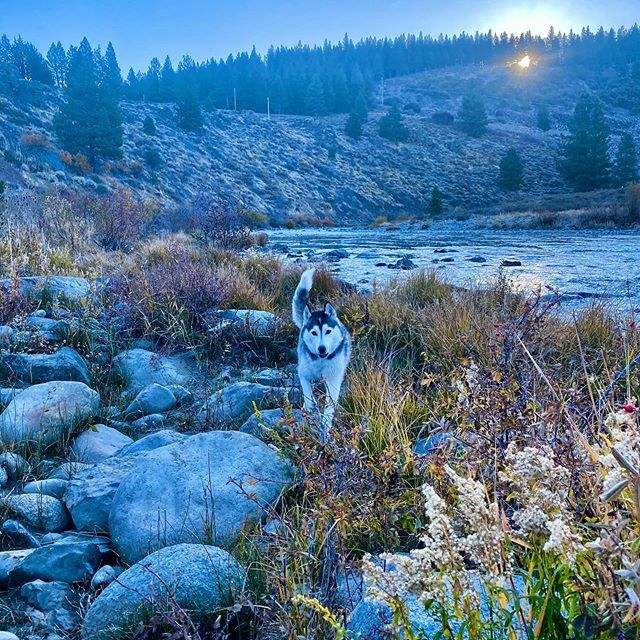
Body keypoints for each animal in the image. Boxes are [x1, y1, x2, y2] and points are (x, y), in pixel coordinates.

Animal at [292, 266, 352, 440]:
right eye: (313, 332)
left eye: (328, 331)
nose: (322, 349)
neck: (321, 361)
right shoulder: (303, 373)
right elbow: (307, 393)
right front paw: (309, 406)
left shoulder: (333, 379)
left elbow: (329, 406)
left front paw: (326, 424)